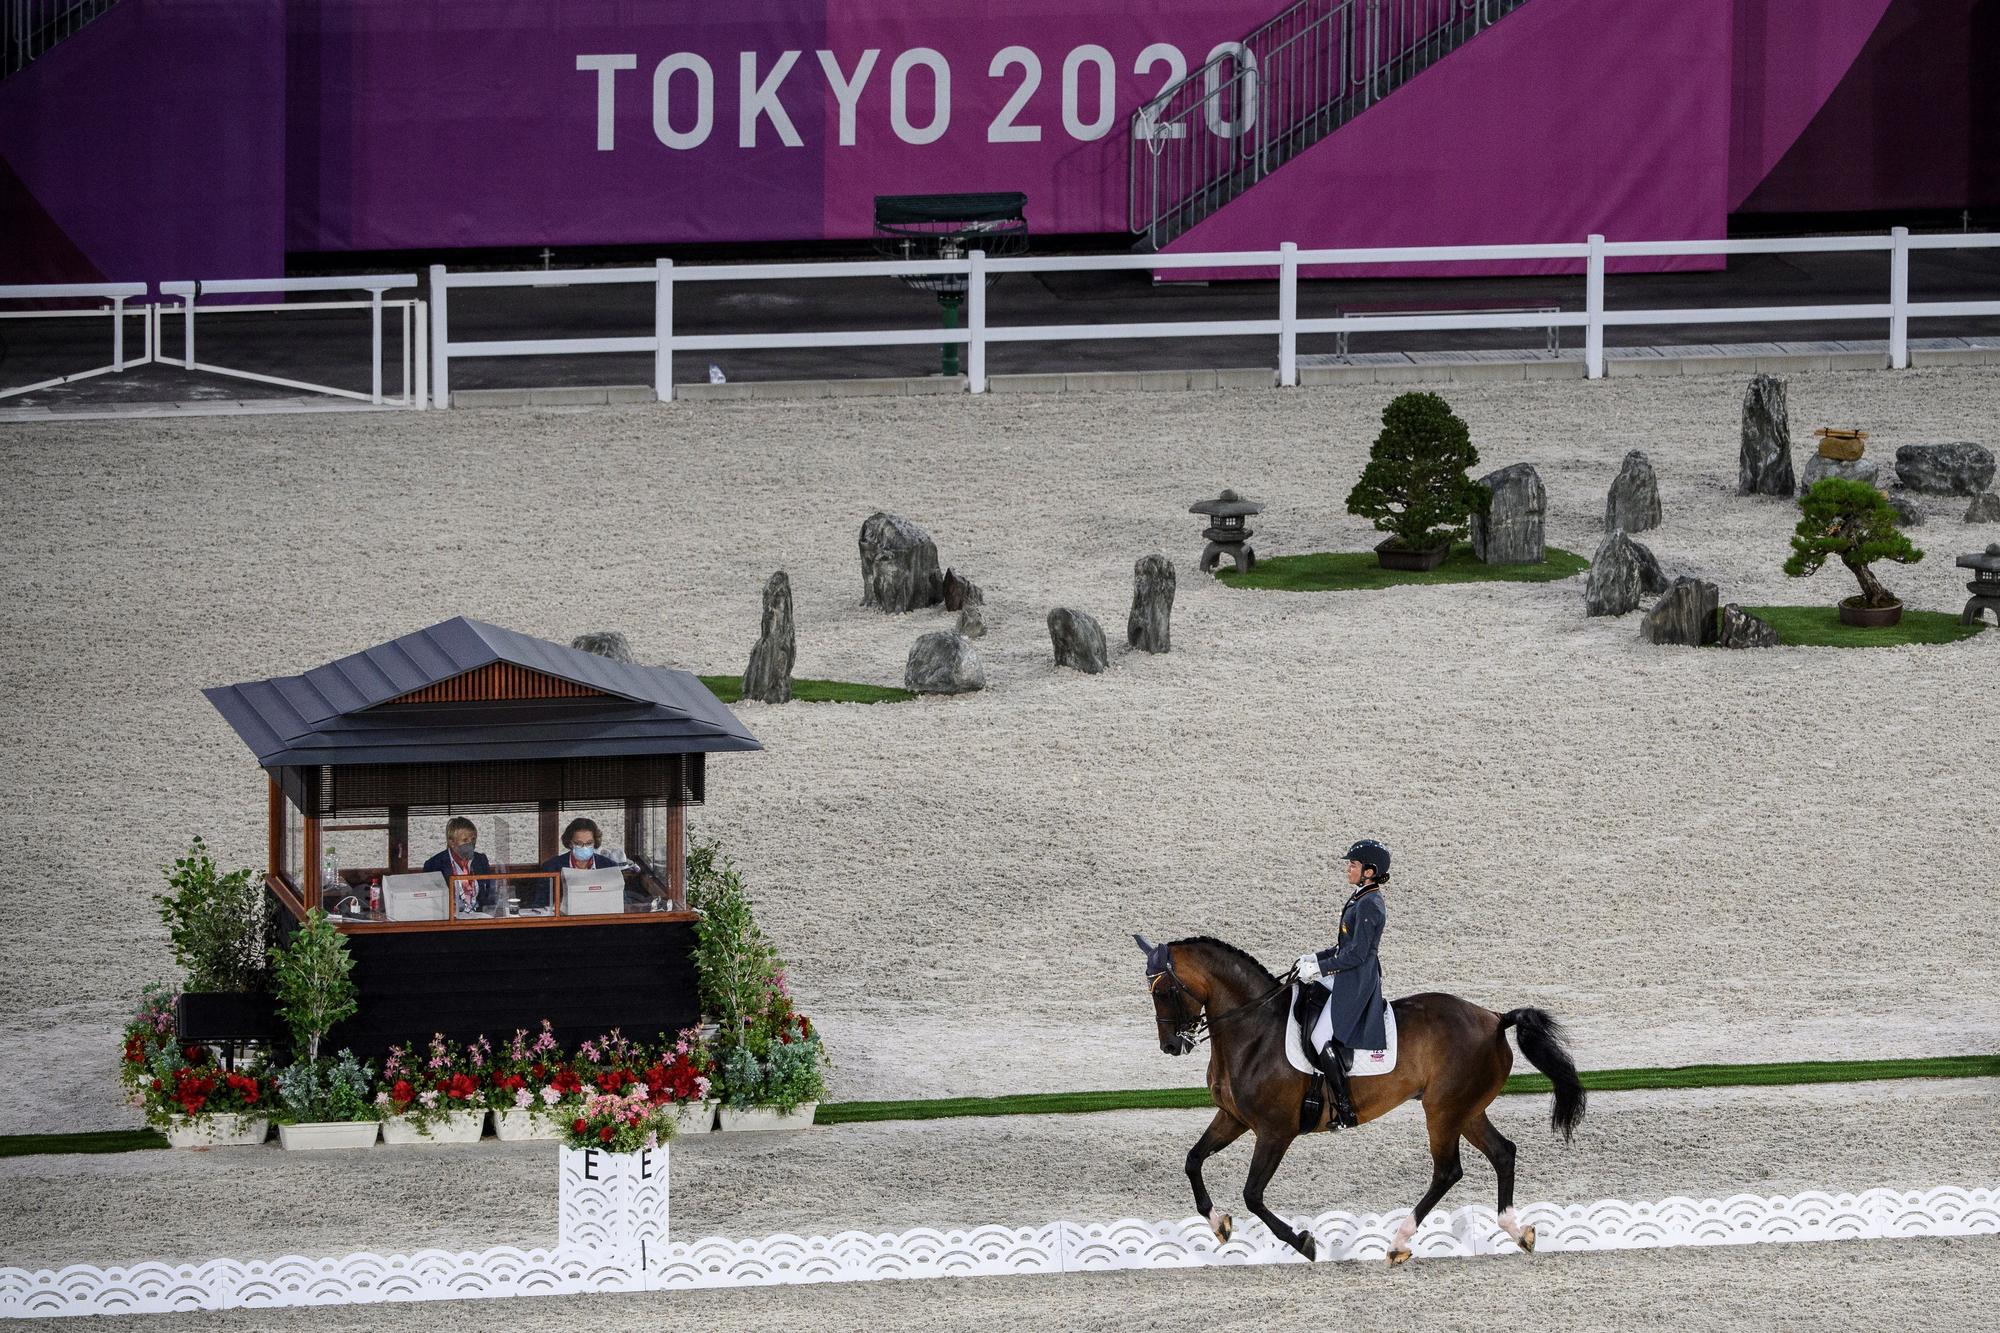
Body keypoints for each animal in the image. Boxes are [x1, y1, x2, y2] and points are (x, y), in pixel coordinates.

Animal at [1136, 928, 1584, 1264]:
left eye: (1163, 992)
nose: (1171, 1046)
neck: (1254, 1031)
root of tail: (1494, 1019)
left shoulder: (1274, 1131)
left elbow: (1253, 1195)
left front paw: (1304, 1242)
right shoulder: (1233, 1118)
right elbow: (1193, 1161)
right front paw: (1218, 1225)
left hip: (1442, 1111)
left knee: (1447, 1171)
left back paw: (1399, 1242)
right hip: (1466, 1110)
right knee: (1502, 1152)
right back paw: (1517, 1231)